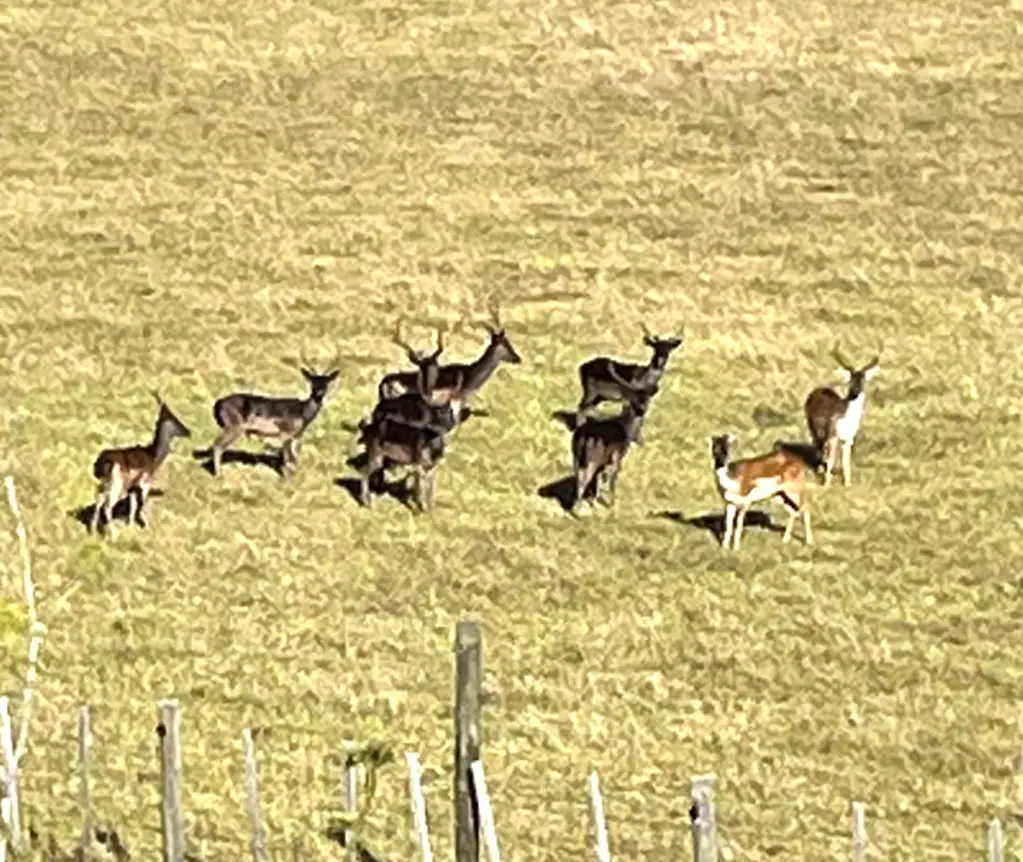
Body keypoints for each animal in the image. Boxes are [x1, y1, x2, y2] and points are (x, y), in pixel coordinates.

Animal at [89, 394, 192, 537]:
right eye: (174, 419)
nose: (188, 431)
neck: (153, 455)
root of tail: (103, 462)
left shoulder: (133, 488)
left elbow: (132, 507)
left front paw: (131, 527)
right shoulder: (145, 483)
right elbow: (141, 505)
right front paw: (146, 527)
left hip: (105, 484)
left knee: (98, 501)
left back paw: (92, 531)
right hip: (117, 484)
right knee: (107, 505)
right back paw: (113, 535)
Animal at [206, 359, 340, 477]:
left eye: (326, 382)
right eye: (312, 382)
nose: (319, 392)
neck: (302, 413)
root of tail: (218, 403)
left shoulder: (297, 436)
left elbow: (295, 460)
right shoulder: (286, 433)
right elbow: (288, 460)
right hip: (234, 426)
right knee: (217, 446)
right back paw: (219, 475)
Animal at [570, 370, 659, 514]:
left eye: (647, 398)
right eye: (635, 398)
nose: (642, 408)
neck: (626, 429)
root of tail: (584, 437)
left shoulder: (605, 461)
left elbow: (601, 480)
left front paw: (595, 500)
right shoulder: (617, 457)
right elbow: (612, 479)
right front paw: (612, 504)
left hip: (576, 455)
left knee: (578, 477)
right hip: (592, 459)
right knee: (584, 480)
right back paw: (577, 510)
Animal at [804, 349, 880, 487]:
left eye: (863, 380)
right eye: (850, 381)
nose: (855, 391)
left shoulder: (849, 439)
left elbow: (846, 462)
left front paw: (847, 484)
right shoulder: (833, 435)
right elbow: (831, 460)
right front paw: (826, 485)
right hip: (812, 427)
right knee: (818, 447)